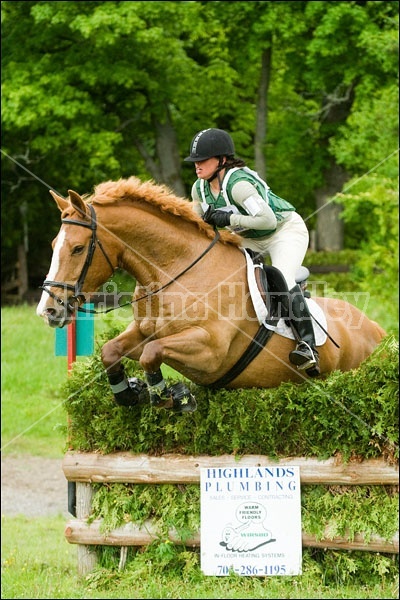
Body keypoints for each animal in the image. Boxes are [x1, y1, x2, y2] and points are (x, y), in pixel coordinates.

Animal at [36, 176, 386, 414]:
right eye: (53, 245)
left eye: (78, 248)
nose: (49, 310)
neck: (174, 271)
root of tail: (377, 330)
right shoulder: (145, 332)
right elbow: (111, 350)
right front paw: (128, 393)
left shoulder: (210, 350)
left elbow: (152, 353)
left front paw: (173, 396)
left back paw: (306, 352)